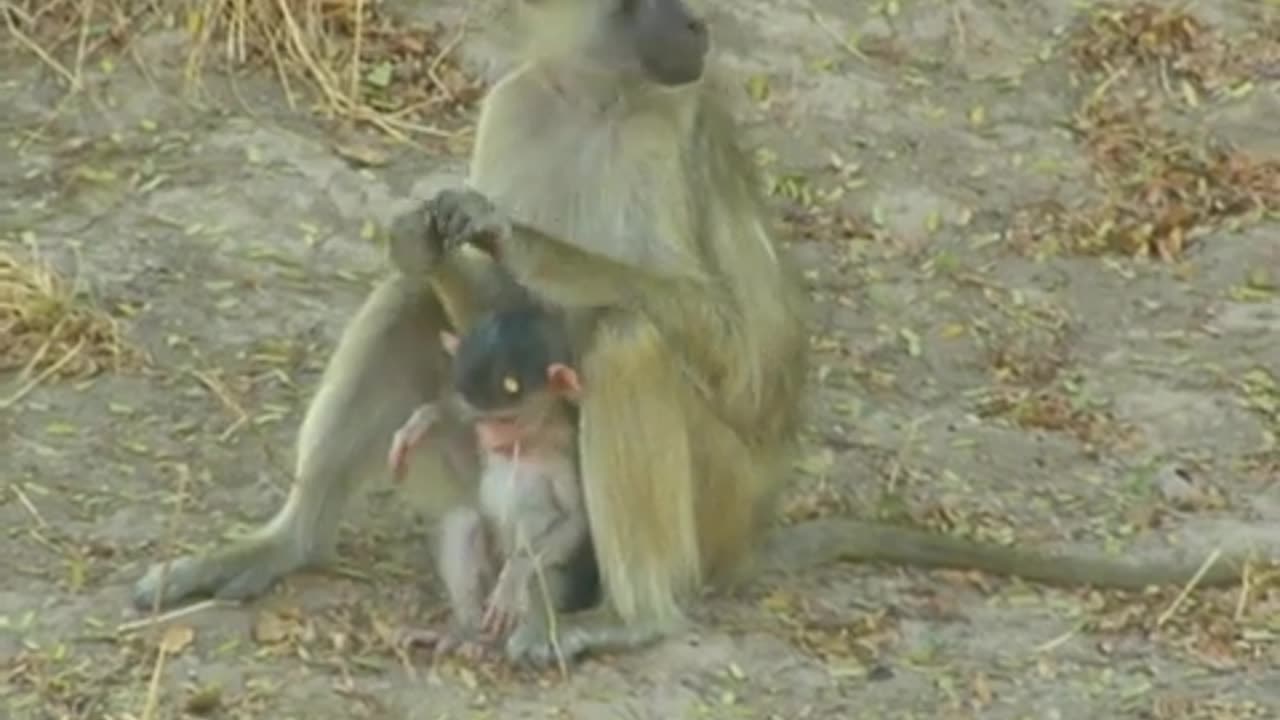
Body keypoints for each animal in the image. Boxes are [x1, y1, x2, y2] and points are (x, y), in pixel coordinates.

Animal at [386, 305, 600, 658]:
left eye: (506, 418)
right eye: (482, 418)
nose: (489, 434)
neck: (530, 444)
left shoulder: (567, 453)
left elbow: (576, 521)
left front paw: (514, 576)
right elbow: (469, 470)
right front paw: (425, 420)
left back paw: (494, 642)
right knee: (465, 520)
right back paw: (465, 633)